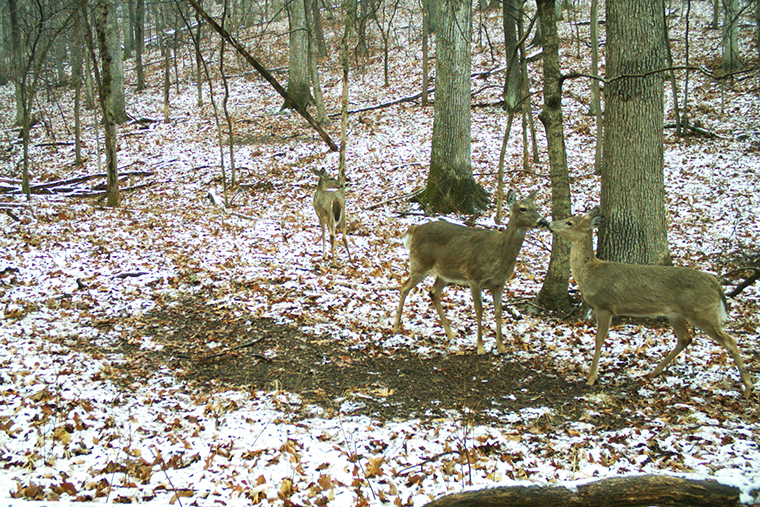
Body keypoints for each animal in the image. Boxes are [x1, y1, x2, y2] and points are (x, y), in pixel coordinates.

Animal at [392, 192, 548, 356]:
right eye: (523, 208)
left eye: (535, 207)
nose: (543, 221)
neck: (499, 254)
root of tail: (414, 229)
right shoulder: (474, 277)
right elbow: (479, 310)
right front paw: (480, 347)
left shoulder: (499, 283)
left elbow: (498, 311)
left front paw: (501, 347)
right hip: (420, 263)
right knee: (404, 287)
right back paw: (395, 326)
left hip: (444, 272)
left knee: (433, 292)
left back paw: (450, 333)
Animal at [548, 208, 756, 398]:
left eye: (569, 222)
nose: (548, 223)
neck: (589, 273)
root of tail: (716, 283)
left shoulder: (605, 306)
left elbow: (599, 340)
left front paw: (591, 377)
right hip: (676, 313)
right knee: (685, 338)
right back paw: (653, 372)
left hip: (702, 311)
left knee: (730, 341)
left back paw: (747, 388)